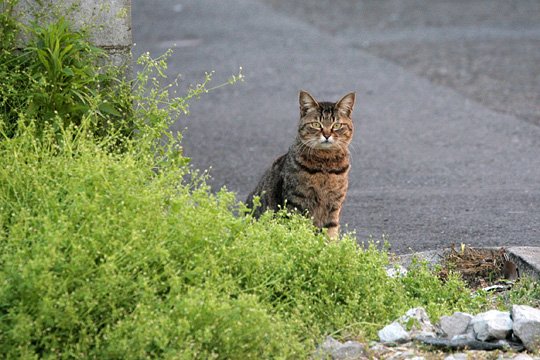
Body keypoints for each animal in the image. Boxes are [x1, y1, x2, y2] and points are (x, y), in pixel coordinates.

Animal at [245, 90, 354, 238]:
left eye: (336, 125)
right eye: (316, 124)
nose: (326, 135)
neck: (325, 165)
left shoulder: (334, 205)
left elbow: (330, 233)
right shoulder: (296, 202)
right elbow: (297, 230)